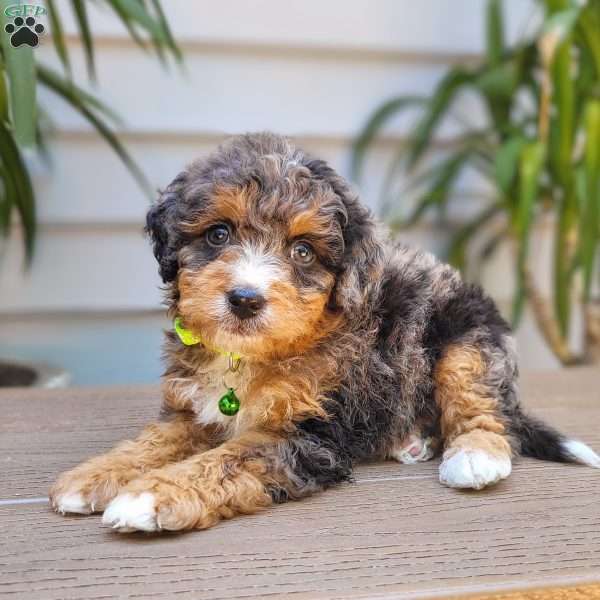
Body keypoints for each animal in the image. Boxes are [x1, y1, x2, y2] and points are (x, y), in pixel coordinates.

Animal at [48, 134, 600, 532]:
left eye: (303, 251)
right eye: (218, 234)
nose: (245, 299)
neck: (248, 356)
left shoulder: (312, 432)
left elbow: (229, 459)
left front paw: (150, 496)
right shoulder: (193, 411)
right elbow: (152, 442)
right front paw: (92, 476)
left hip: (466, 339)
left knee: (480, 407)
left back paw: (473, 455)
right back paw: (412, 441)